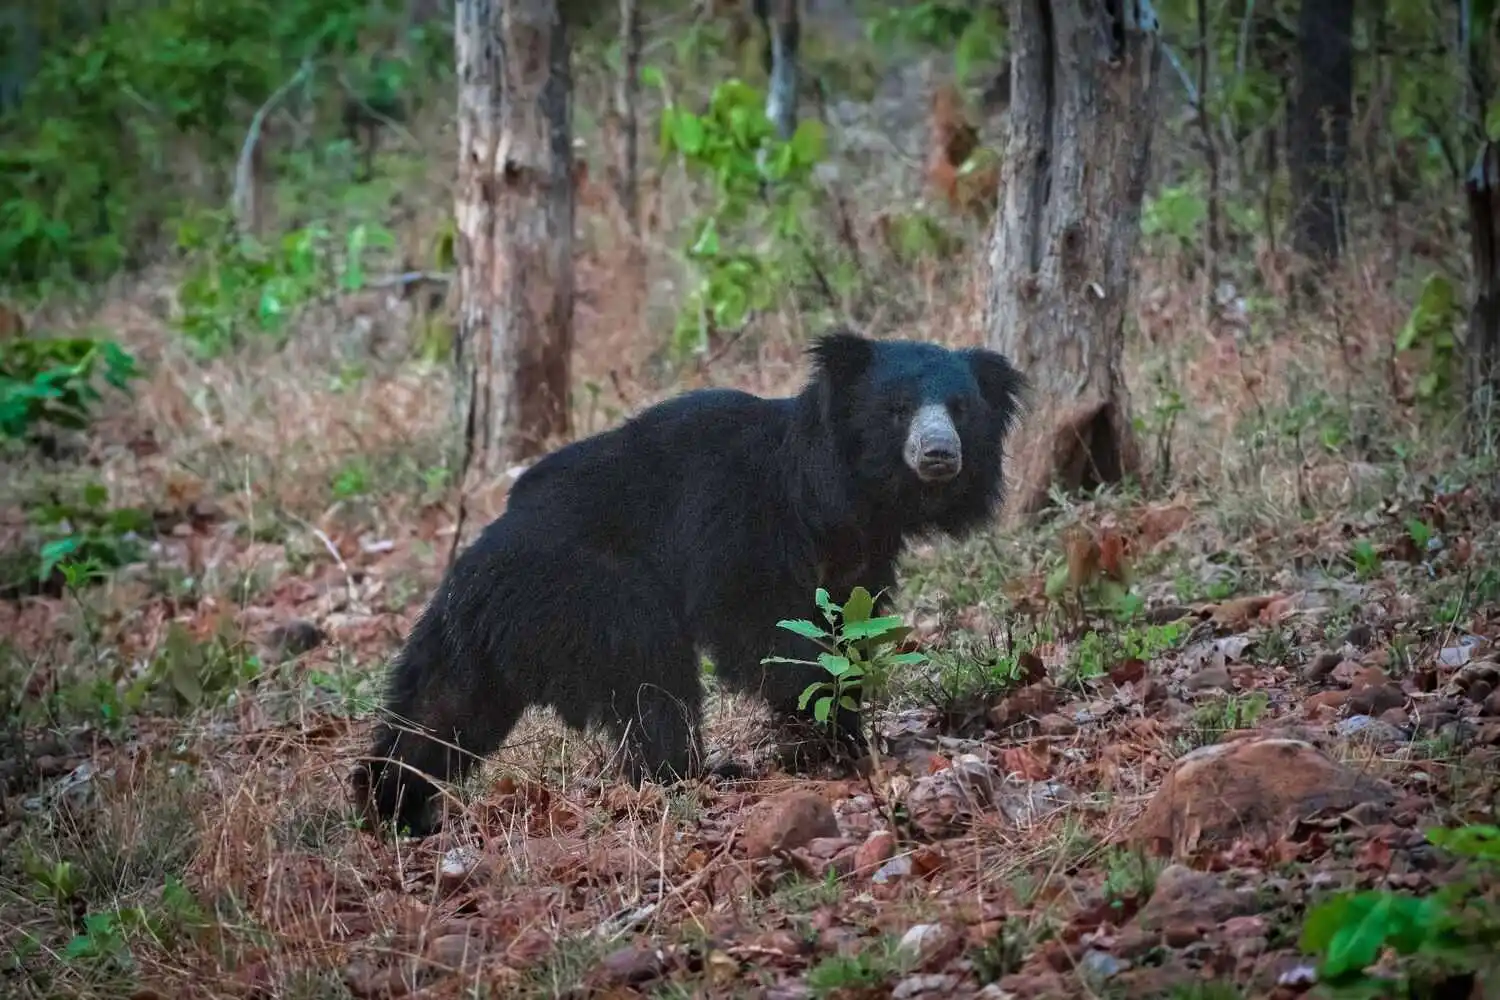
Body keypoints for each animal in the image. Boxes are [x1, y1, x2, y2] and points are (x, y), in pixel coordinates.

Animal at [351, 328, 1025, 835]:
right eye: (898, 409)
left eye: (960, 410)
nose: (939, 453)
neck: (847, 496)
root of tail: (475, 573)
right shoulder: (735, 516)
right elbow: (761, 623)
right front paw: (834, 735)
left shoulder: (860, 555)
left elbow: (848, 623)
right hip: (589, 594)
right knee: (651, 673)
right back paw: (691, 772)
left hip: (483, 645)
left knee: (439, 711)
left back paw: (392, 803)